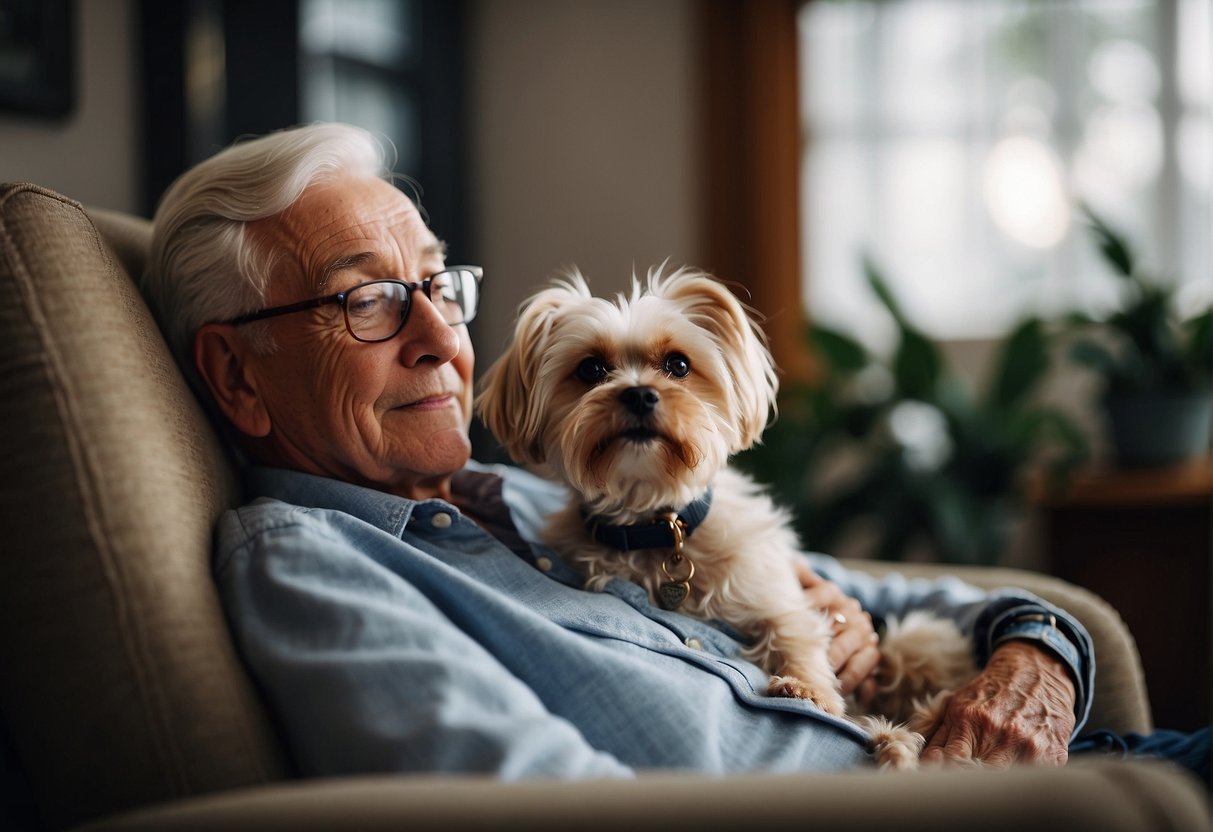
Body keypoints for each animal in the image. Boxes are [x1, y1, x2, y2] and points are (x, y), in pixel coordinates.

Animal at [473, 266, 975, 771]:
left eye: (678, 365)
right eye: (591, 369)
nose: (639, 394)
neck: (657, 525)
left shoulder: (775, 591)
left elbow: (794, 630)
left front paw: (806, 687)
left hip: (922, 639)